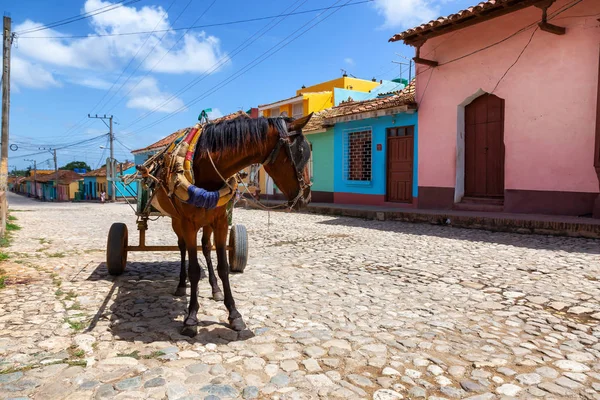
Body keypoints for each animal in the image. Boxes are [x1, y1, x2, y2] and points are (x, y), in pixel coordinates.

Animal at [149, 113, 312, 338]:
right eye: (301, 152)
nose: (307, 197)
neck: (206, 169)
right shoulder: (188, 223)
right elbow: (194, 269)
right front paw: (191, 318)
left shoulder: (221, 222)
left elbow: (224, 267)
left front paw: (234, 314)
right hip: (177, 221)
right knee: (182, 249)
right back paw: (182, 285)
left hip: (207, 223)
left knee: (206, 247)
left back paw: (215, 289)